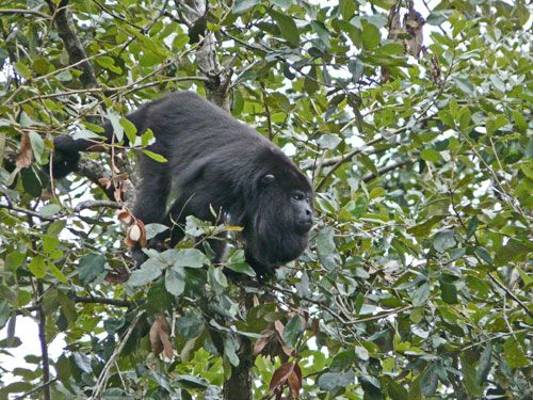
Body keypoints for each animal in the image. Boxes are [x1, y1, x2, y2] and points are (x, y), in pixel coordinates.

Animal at [51, 92, 312, 276]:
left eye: (308, 199)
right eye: (296, 197)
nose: (310, 212)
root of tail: (165, 99)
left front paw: (255, 267)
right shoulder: (223, 177)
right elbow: (193, 210)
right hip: (154, 135)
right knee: (156, 186)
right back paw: (141, 247)